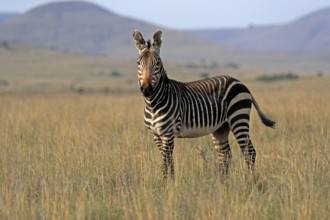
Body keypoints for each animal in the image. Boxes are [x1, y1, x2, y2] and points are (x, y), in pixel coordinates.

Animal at [133, 29, 274, 180]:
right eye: (138, 63)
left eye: (158, 63)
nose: (147, 89)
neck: (153, 104)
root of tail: (240, 82)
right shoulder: (156, 134)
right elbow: (168, 161)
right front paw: (171, 182)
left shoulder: (168, 133)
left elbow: (165, 162)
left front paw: (166, 184)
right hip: (221, 127)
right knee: (225, 155)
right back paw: (222, 182)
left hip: (238, 118)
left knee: (249, 152)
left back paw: (250, 181)